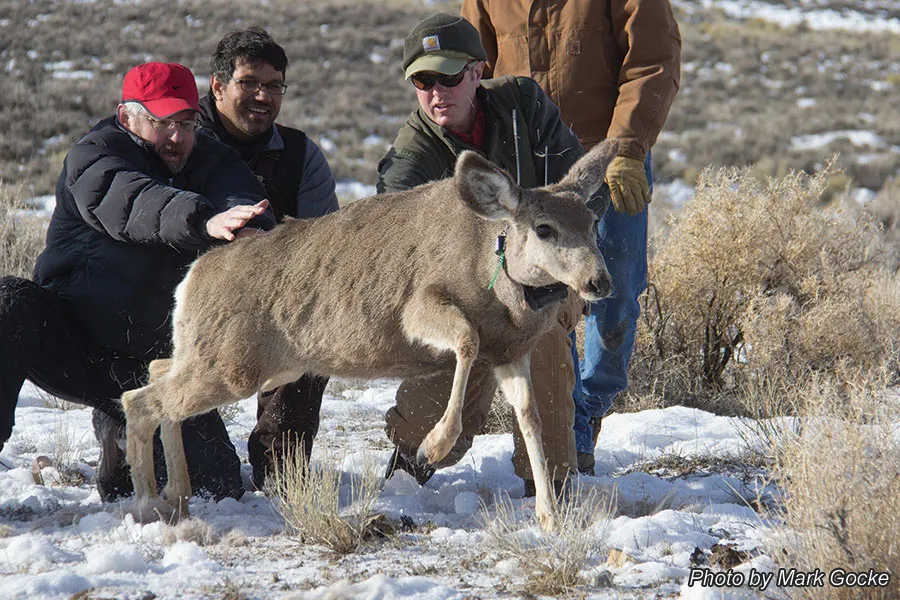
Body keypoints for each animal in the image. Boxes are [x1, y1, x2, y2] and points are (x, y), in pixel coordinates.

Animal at [119, 137, 620, 528]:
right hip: (233, 364)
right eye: (544, 228)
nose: (599, 282)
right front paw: (433, 445)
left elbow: (531, 417)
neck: (488, 266)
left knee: (158, 372)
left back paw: (177, 497)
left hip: (247, 362)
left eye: (593, 222)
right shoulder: (419, 307)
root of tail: (192, 277)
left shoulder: (511, 352)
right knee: (137, 400)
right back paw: (147, 506)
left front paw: (549, 516)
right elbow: (466, 341)